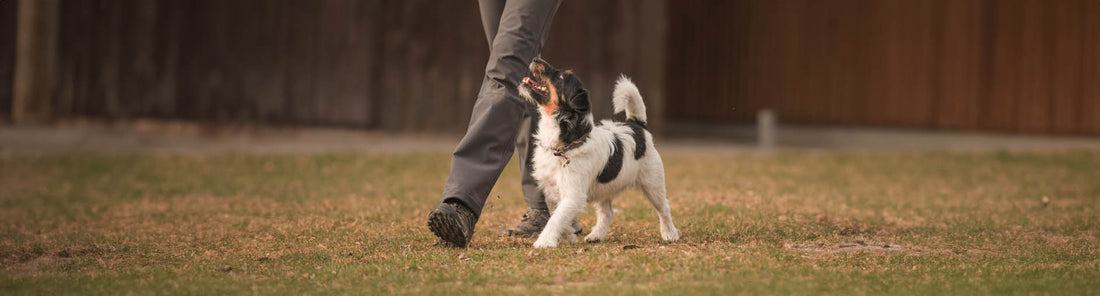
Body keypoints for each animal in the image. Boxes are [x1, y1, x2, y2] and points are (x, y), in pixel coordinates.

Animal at [517, 57, 677, 246]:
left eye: (562, 77)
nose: (536, 58)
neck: (566, 143)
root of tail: (637, 125)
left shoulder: (573, 195)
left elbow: (556, 219)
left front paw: (545, 242)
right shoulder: (551, 191)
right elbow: (558, 215)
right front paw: (569, 236)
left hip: (653, 184)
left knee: (664, 208)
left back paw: (669, 233)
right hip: (604, 189)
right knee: (607, 213)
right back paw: (596, 235)